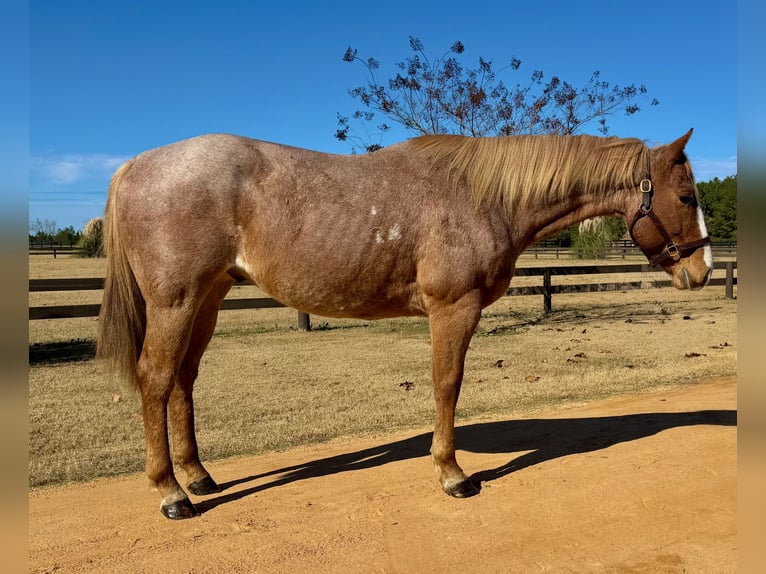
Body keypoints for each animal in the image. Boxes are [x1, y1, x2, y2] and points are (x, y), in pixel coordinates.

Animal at [97, 129, 712, 519]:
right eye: (686, 196)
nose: (701, 271)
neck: (483, 196)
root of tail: (134, 165)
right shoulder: (453, 308)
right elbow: (447, 386)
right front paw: (453, 474)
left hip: (208, 297)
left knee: (183, 380)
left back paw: (197, 475)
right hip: (175, 301)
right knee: (156, 378)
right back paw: (172, 494)